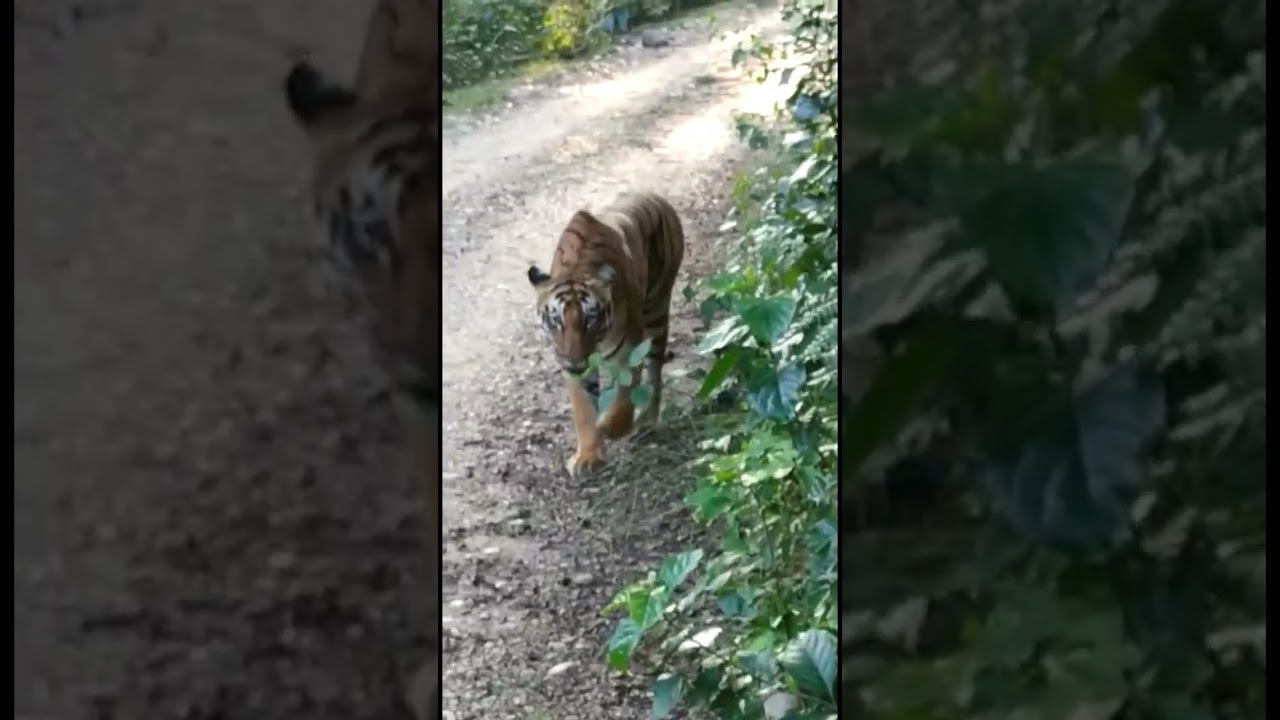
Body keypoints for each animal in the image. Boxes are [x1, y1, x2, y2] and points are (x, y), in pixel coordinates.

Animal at [528, 191, 686, 477]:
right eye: (556, 321)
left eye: (589, 319)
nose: (575, 362)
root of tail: (656, 197)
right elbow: (583, 408)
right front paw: (588, 456)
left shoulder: (629, 350)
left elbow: (623, 401)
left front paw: (608, 427)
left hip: (656, 311)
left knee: (654, 372)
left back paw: (647, 422)